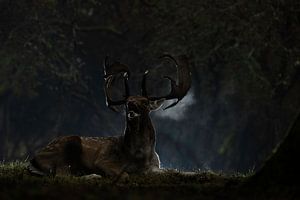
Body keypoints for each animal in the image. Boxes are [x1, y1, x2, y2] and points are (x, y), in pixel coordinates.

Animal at [28, 54, 192, 178]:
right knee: (62, 173)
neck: (140, 156)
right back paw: (93, 176)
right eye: (126, 102)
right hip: (68, 145)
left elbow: (175, 170)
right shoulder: (103, 161)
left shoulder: (156, 166)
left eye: (145, 102)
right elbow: (124, 174)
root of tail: (33, 159)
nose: (131, 107)